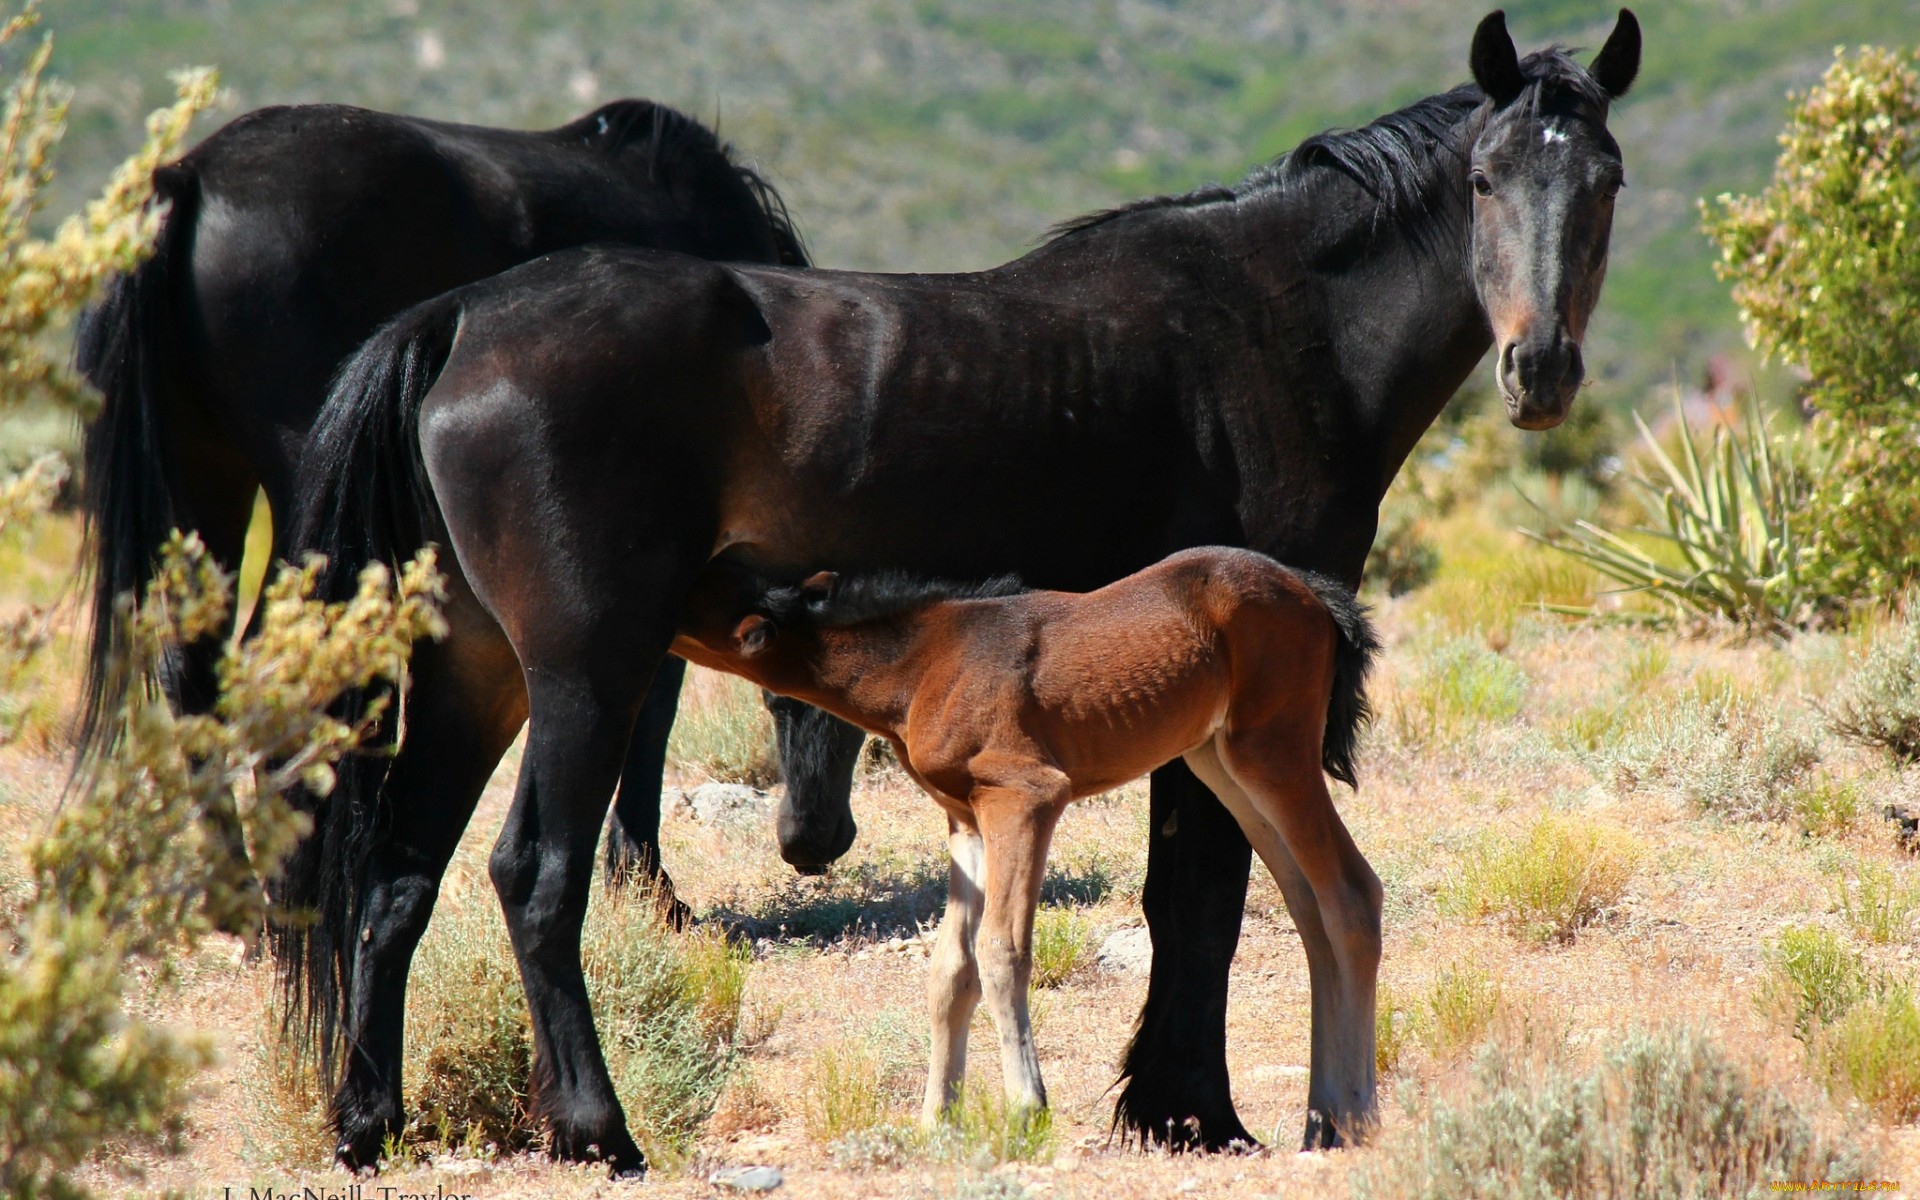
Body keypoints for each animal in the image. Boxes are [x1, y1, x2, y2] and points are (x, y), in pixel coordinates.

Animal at [67, 98, 864, 917]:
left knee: (191, 667)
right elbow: (654, 706)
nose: (812, 841)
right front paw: (649, 886)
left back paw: (243, 898)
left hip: (206, 481)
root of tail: (187, 178)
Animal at [672, 541, 1382, 1144]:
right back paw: (1323, 1120)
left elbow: (1001, 951)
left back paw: (1355, 1119)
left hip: (1272, 752)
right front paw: (936, 1119)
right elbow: (950, 967)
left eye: (698, 597)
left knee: (1352, 894)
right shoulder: (964, 819)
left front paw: (1026, 1108)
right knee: (1312, 911)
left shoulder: (1023, 798)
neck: (923, 662)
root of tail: (1318, 596)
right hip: (1222, 763)